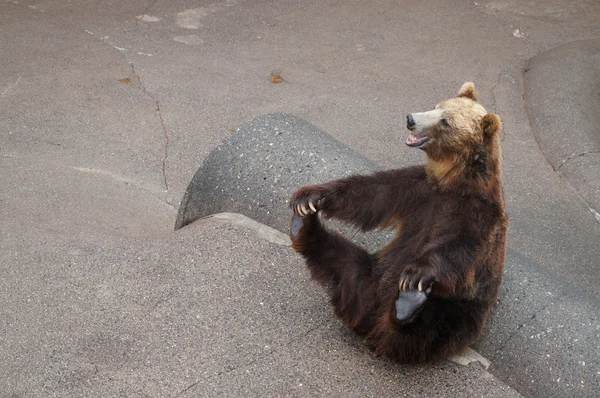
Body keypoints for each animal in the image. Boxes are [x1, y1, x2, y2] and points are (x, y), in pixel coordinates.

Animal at [290, 83, 506, 364]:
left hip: (459, 310)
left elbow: (457, 247)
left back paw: (407, 304)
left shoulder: (476, 215)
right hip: (371, 273)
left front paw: (416, 276)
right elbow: (370, 194)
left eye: (445, 122)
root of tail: (370, 318)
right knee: (342, 258)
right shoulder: (416, 189)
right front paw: (310, 197)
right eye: (436, 106)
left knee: (428, 329)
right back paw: (302, 225)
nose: (411, 119)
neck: (452, 182)